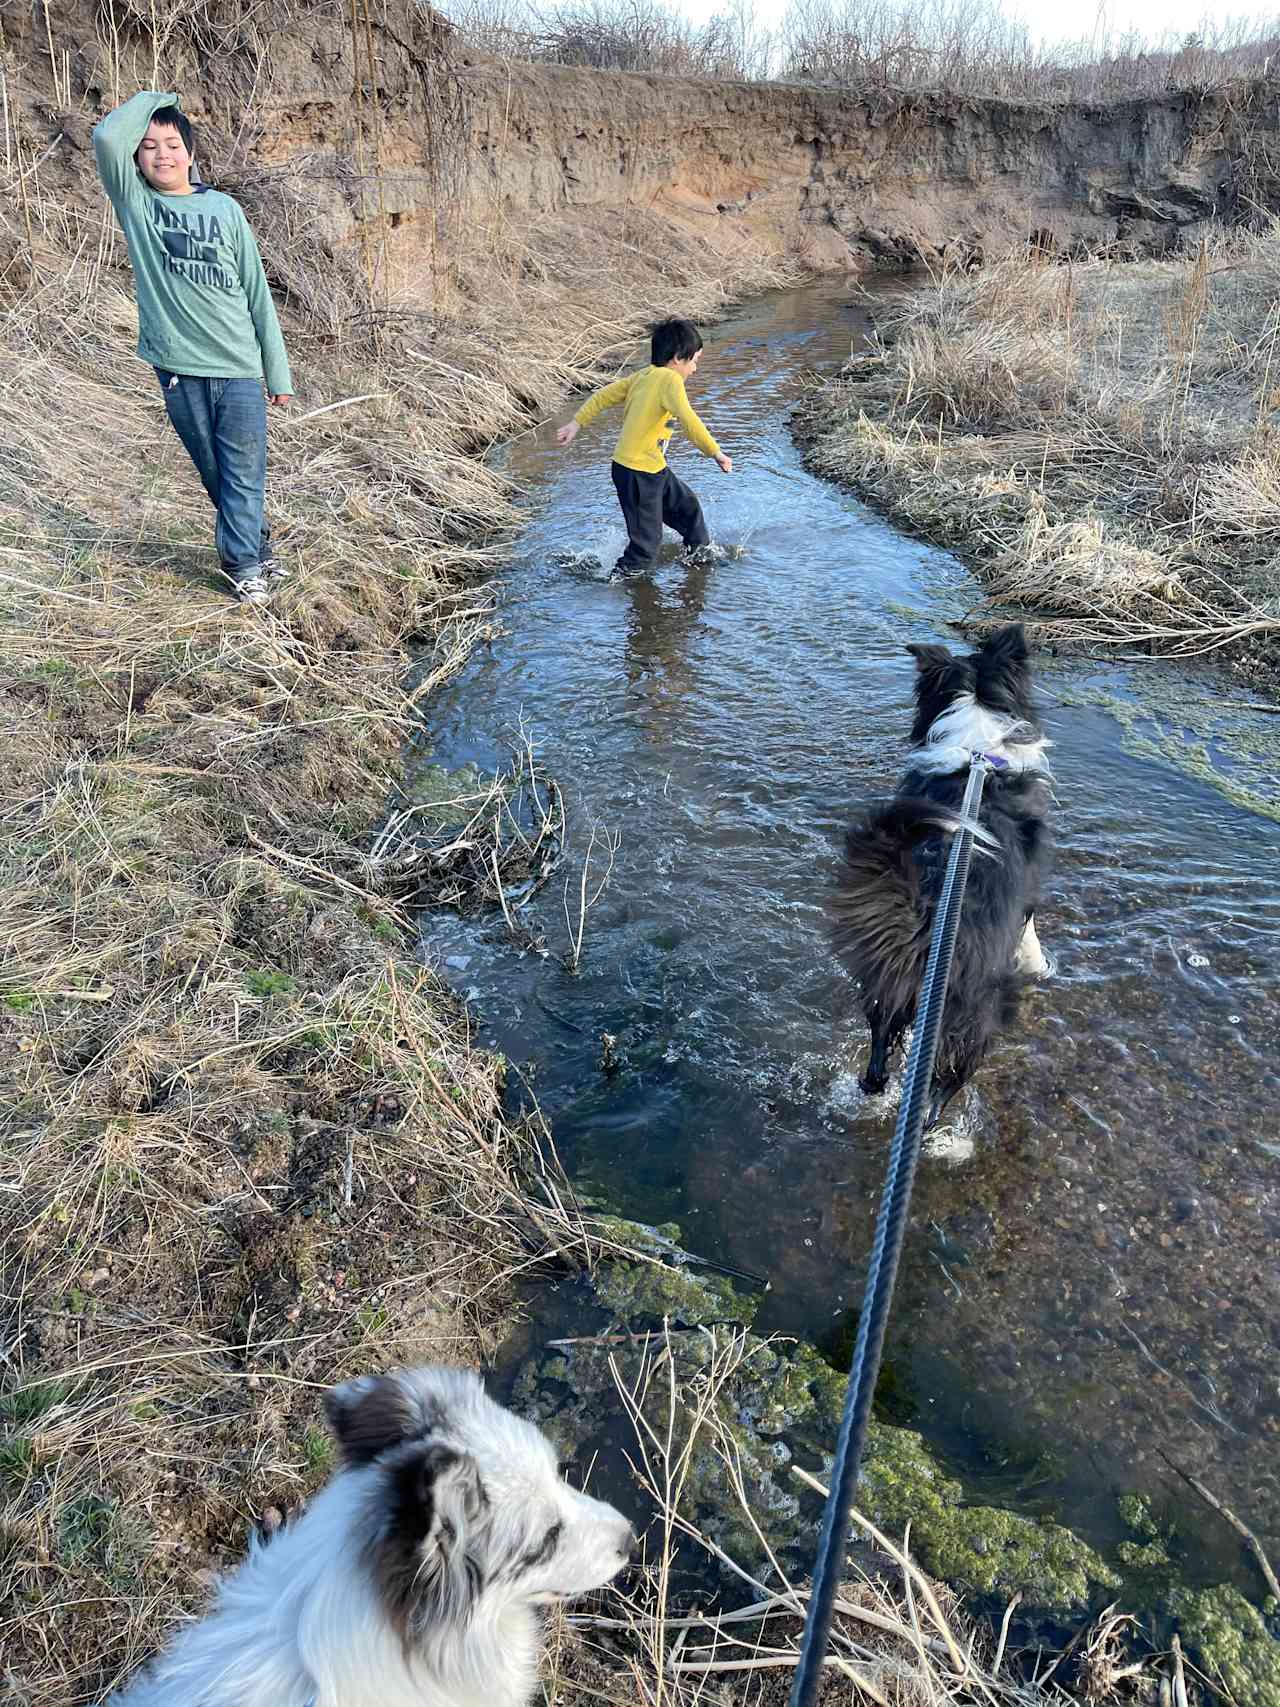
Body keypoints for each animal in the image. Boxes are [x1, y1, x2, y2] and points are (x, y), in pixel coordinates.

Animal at [832, 621, 1051, 1126]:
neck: (979, 756)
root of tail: (927, 922)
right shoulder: (1028, 896)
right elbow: (1031, 928)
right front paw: (1039, 962)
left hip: (885, 994)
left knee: (877, 1068)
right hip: (979, 1014)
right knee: (944, 1086)